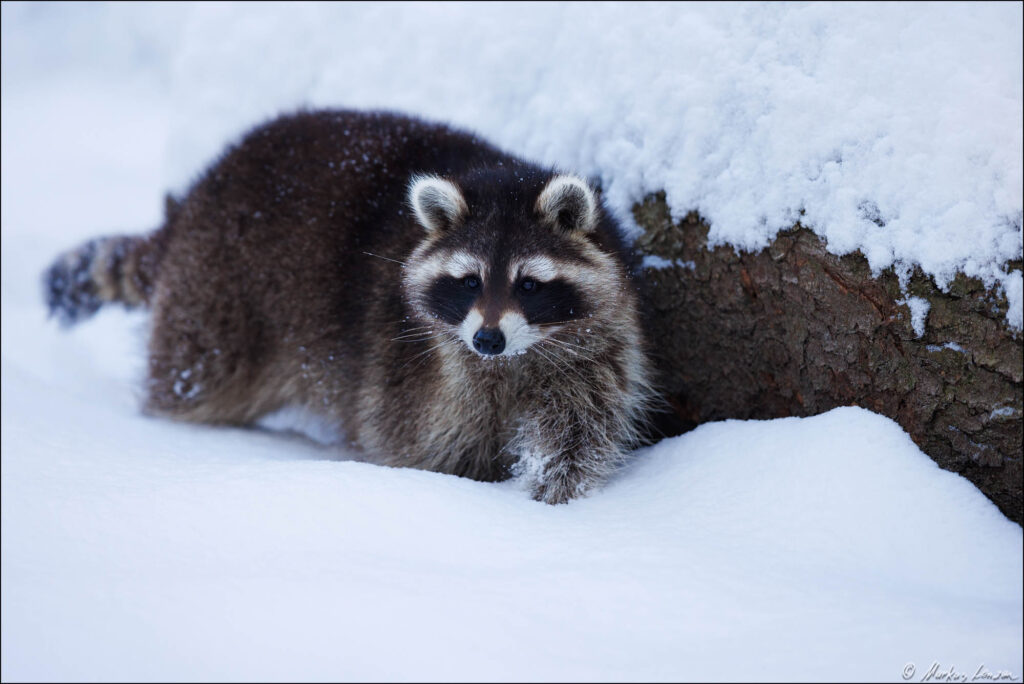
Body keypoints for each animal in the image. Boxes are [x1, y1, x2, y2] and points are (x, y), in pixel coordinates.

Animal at [41, 108, 655, 501]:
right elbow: (426, 447)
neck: (512, 363)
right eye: (467, 281)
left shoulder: (596, 349)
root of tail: (192, 201)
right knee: (195, 380)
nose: (487, 339)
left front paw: (552, 495)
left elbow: (579, 432)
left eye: (529, 284)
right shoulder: (417, 372)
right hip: (216, 296)